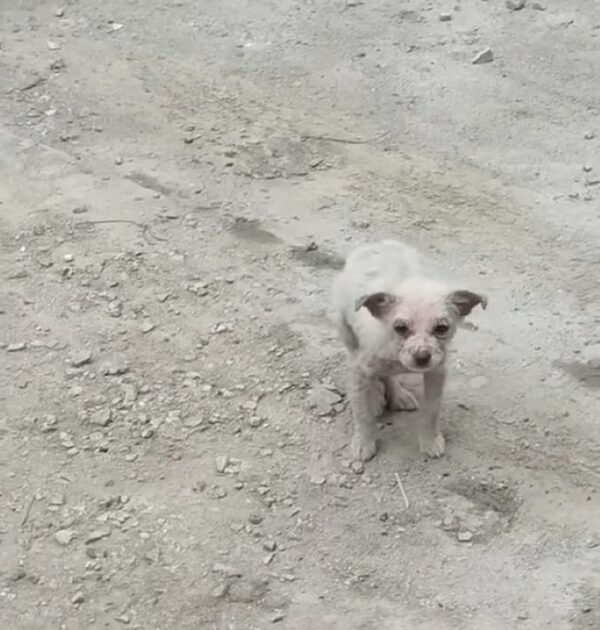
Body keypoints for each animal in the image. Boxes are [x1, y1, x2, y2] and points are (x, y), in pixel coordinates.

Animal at [332, 242, 488, 464]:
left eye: (442, 328)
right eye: (400, 328)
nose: (422, 357)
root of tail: (379, 243)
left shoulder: (437, 371)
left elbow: (432, 411)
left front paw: (430, 441)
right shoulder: (358, 370)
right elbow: (362, 414)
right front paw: (363, 444)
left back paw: (398, 395)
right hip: (345, 331)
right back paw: (376, 398)